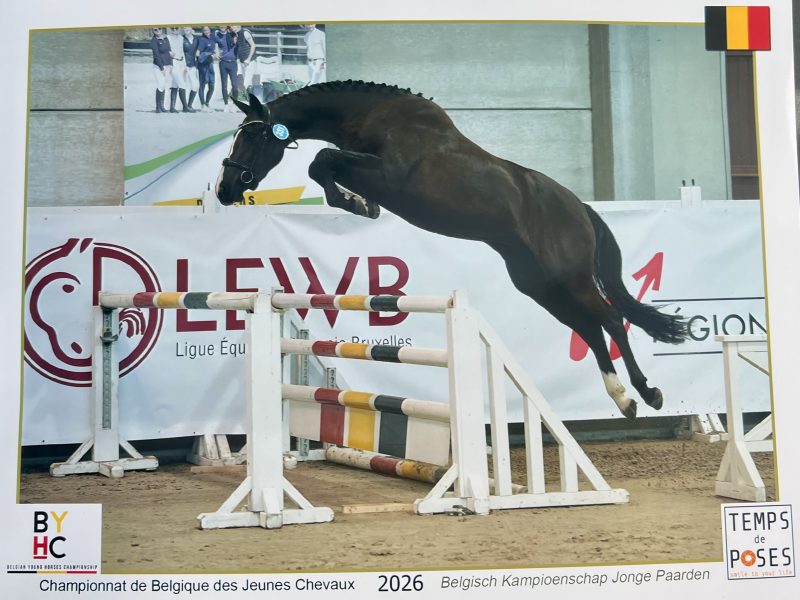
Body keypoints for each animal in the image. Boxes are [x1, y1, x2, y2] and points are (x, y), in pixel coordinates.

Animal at [215, 80, 689, 419]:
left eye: (252, 138)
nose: (224, 189)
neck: (378, 118)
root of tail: (580, 208)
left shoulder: (387, 176)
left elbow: (323, 162)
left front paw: (358, 205)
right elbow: (324, 165)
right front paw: (358, 204)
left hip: (568, 278)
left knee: (609, 320)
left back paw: (648, 393)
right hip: (539, 285)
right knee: (590, 328)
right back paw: (623, 399)